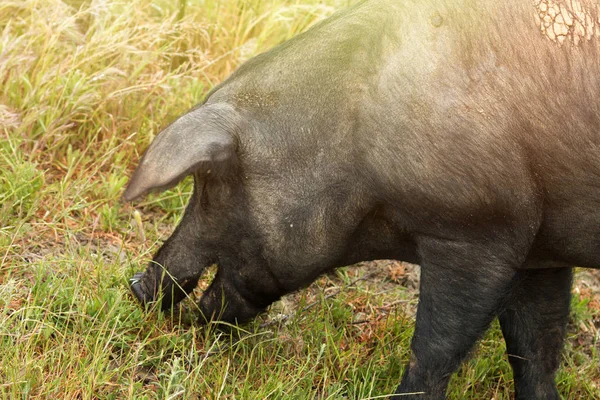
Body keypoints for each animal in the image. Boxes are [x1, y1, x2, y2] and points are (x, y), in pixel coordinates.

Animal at [122, 1, 600, 398]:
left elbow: (436, 348)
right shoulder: (542, 248)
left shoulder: (479, 230)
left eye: (209, 181)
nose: (135, 286)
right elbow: (535, 348)